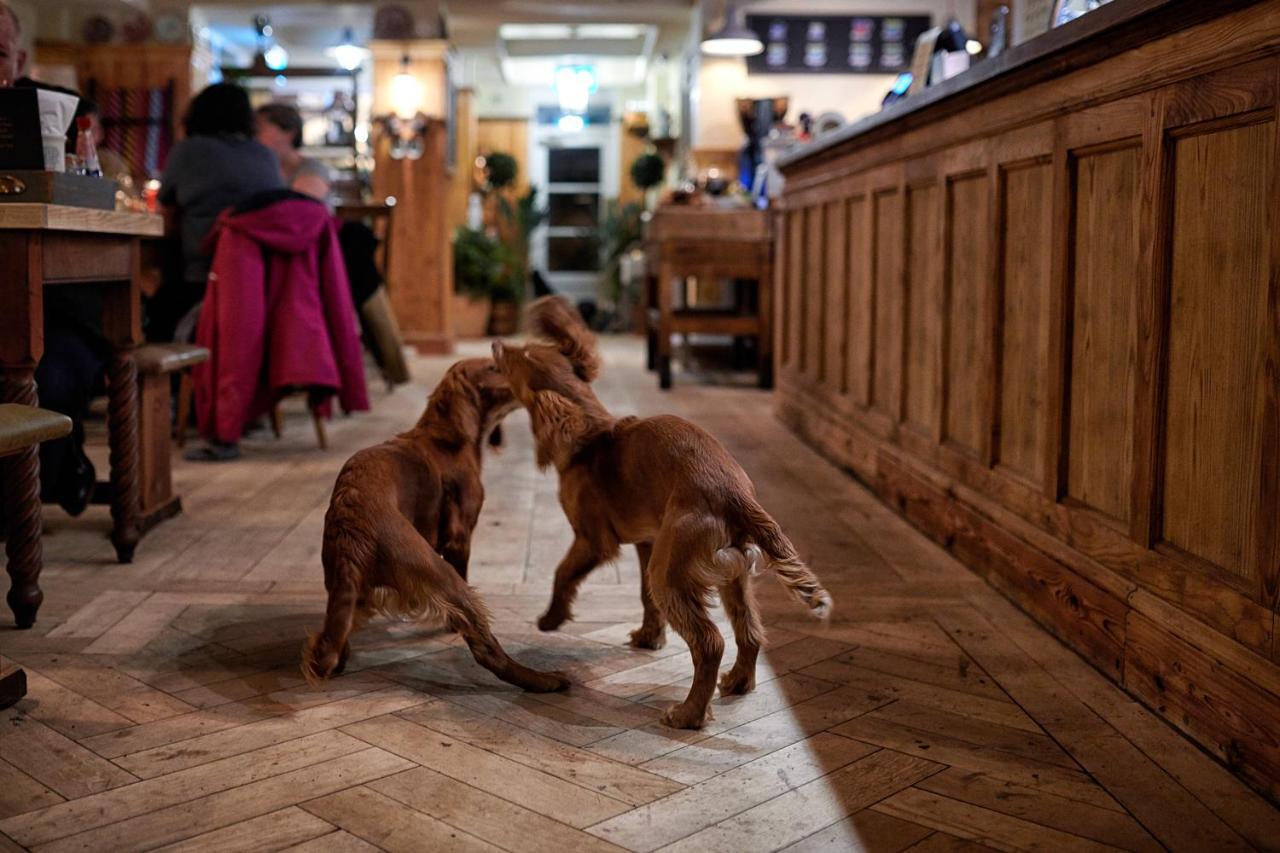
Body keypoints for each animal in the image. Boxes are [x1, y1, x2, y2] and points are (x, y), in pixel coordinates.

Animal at [302, 356, 568, 691]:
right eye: (494, 367)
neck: (446, 436)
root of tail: (351, 524)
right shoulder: (460, 538)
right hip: (442, 575)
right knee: (486, 650)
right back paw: (545, 680)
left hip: (346, 589)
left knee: (333, 640)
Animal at [488, 298, 829, 722]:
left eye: (520, 357)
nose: (496, 343)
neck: (590, 436)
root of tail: (736, 495)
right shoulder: (648, 541)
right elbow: (643, 597)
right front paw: (649, 638)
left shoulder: (593, 540)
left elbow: (562, 573)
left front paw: (551, 618)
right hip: (726, 570)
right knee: (748, 630)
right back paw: (737, 683)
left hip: (672, 570)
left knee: (710, 642)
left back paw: (688, 715)